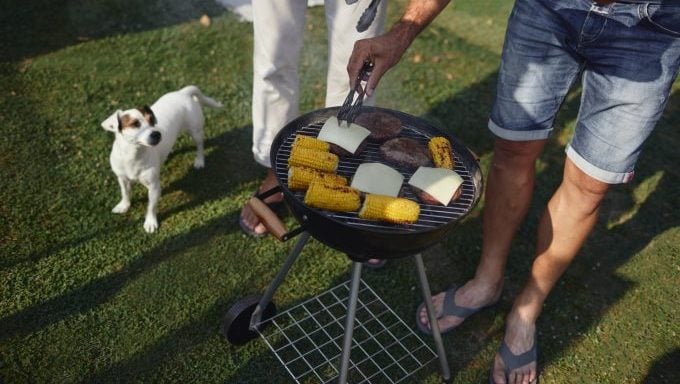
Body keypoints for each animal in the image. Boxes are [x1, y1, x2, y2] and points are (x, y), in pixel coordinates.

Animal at [101, 85, 223, 232]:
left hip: (195, 131)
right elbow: (125, 193)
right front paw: (124, 205)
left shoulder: (154, 186)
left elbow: (151, 206)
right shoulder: (122, 178)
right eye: (135, 124)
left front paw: (150, 222)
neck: (133, 155)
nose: (157, 134)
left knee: (199, 145)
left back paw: (199, 161)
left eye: (152, 120)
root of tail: (183, 92)